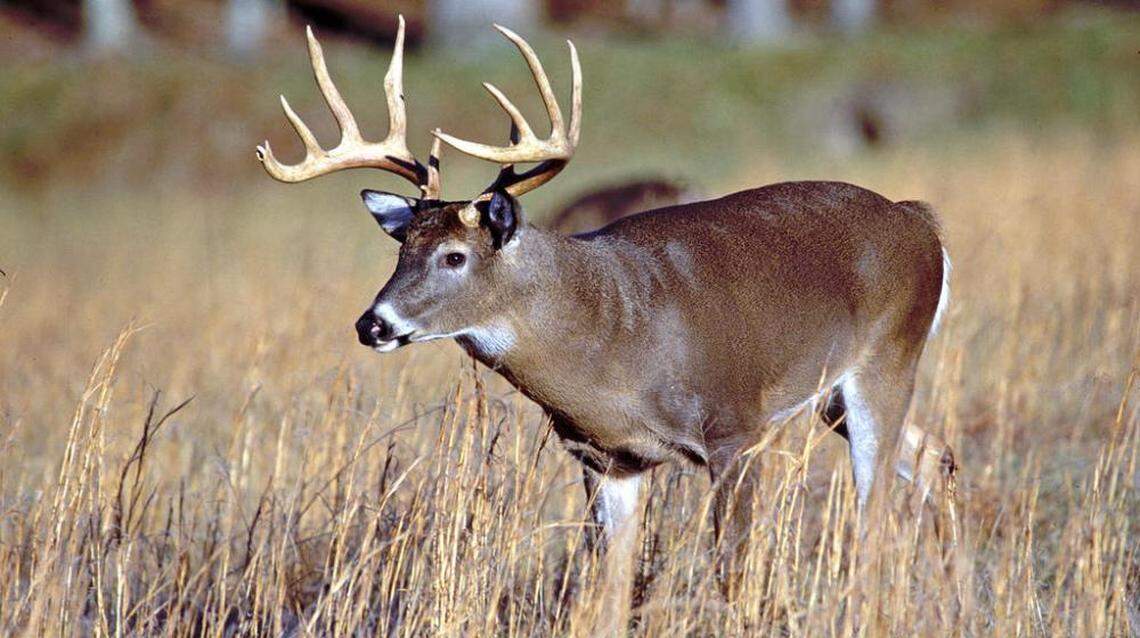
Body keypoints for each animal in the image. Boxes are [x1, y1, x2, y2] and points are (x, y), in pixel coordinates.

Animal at [256, 16, 956, 600]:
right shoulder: (605, 458)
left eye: (454, 256)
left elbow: (733, 574)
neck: (613, 338)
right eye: (401, 248)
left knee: (874, 512)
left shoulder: (735, 430)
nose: (371, 323)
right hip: (832, 395)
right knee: (934, 457)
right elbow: (611, 591)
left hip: (888, 355)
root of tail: (921, 222)